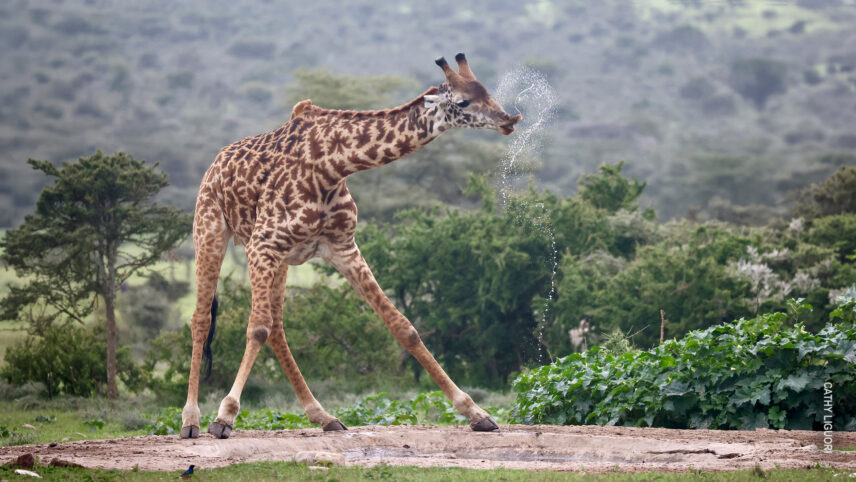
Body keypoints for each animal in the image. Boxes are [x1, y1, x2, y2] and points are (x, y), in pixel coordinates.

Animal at [180, 53, 522, 439]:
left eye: (487, 90)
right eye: (463, 101)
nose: (509, 120)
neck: (332, 165)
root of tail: (215, 163)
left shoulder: (342, 247)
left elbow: (403, 327)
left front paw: (475, 412)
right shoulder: (261, 245)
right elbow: (256, 328)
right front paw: (224, 416)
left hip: (281, 259)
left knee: (278, 326)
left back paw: (323, 415)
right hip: (210, 231)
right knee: (202, 320)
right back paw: (190, 420)